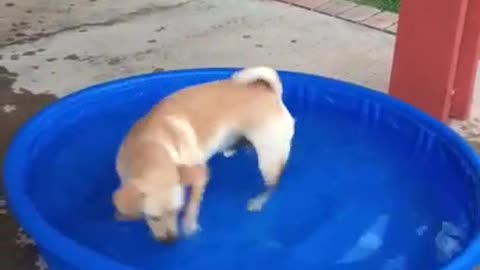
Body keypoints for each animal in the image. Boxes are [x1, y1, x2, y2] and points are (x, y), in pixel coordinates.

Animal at [112, 67, 294, 243]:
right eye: (153, 217)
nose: (171, 241)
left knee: (273, 185)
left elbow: (193, 204)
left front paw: (189, 224)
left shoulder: (198, 175)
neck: (149, 146)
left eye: (177, 211)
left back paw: (259, 201)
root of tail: (270, 93)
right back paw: (234, 148)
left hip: (268, 160)